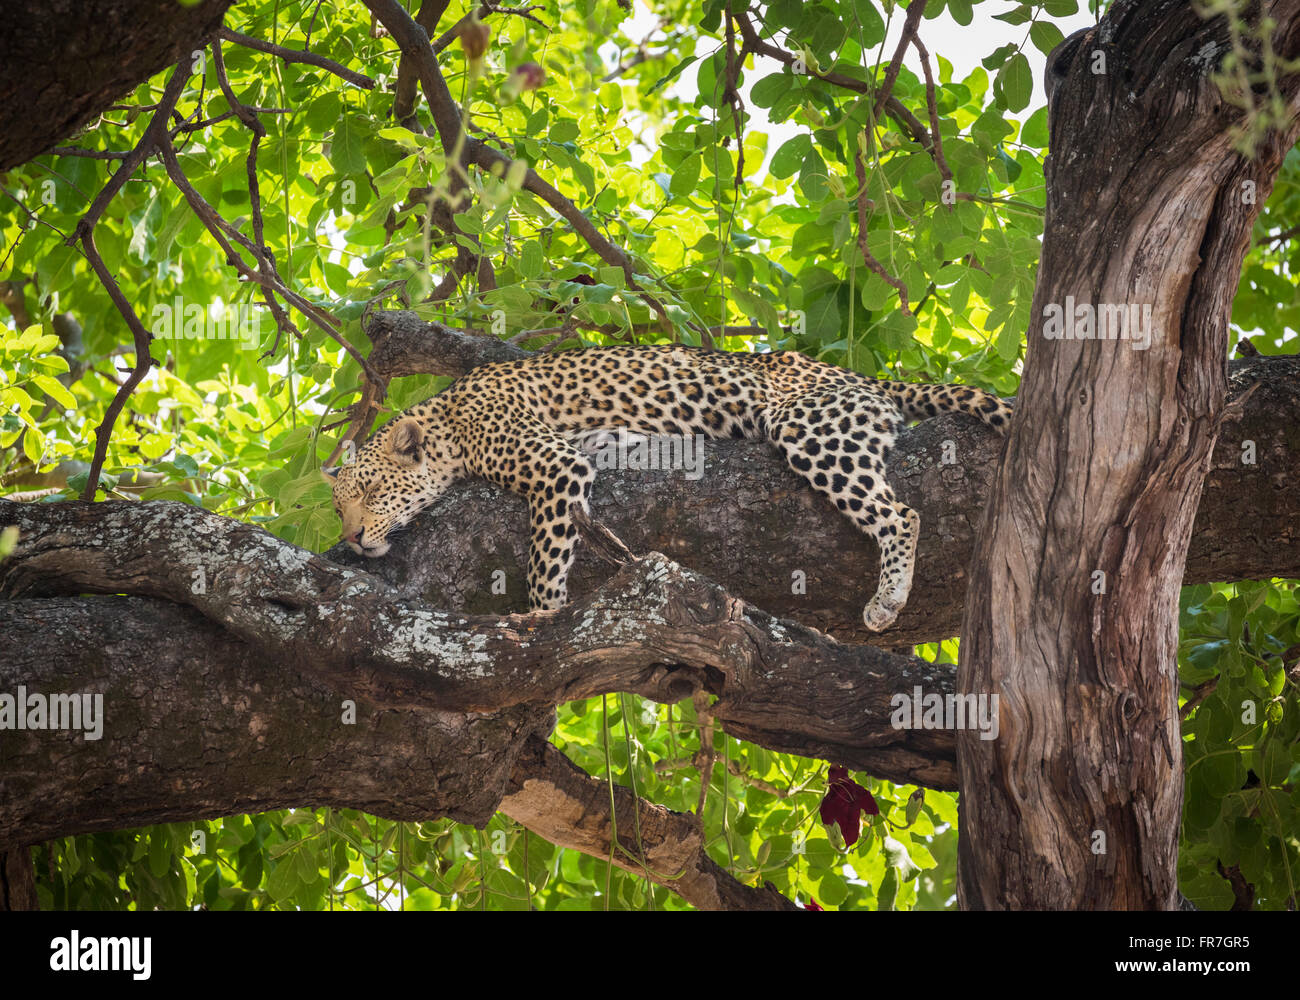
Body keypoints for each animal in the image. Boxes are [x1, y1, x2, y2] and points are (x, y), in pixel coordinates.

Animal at [319, 340, 1008, 624]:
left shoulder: (554, 466)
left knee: (901, 513)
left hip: (809, 425)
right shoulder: (580, 452)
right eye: (338, 511)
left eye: (371, 496)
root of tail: (861, 376)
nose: (351, 541)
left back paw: (888, 599)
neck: (449, 421)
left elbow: (545, 559)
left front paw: (541, 622)